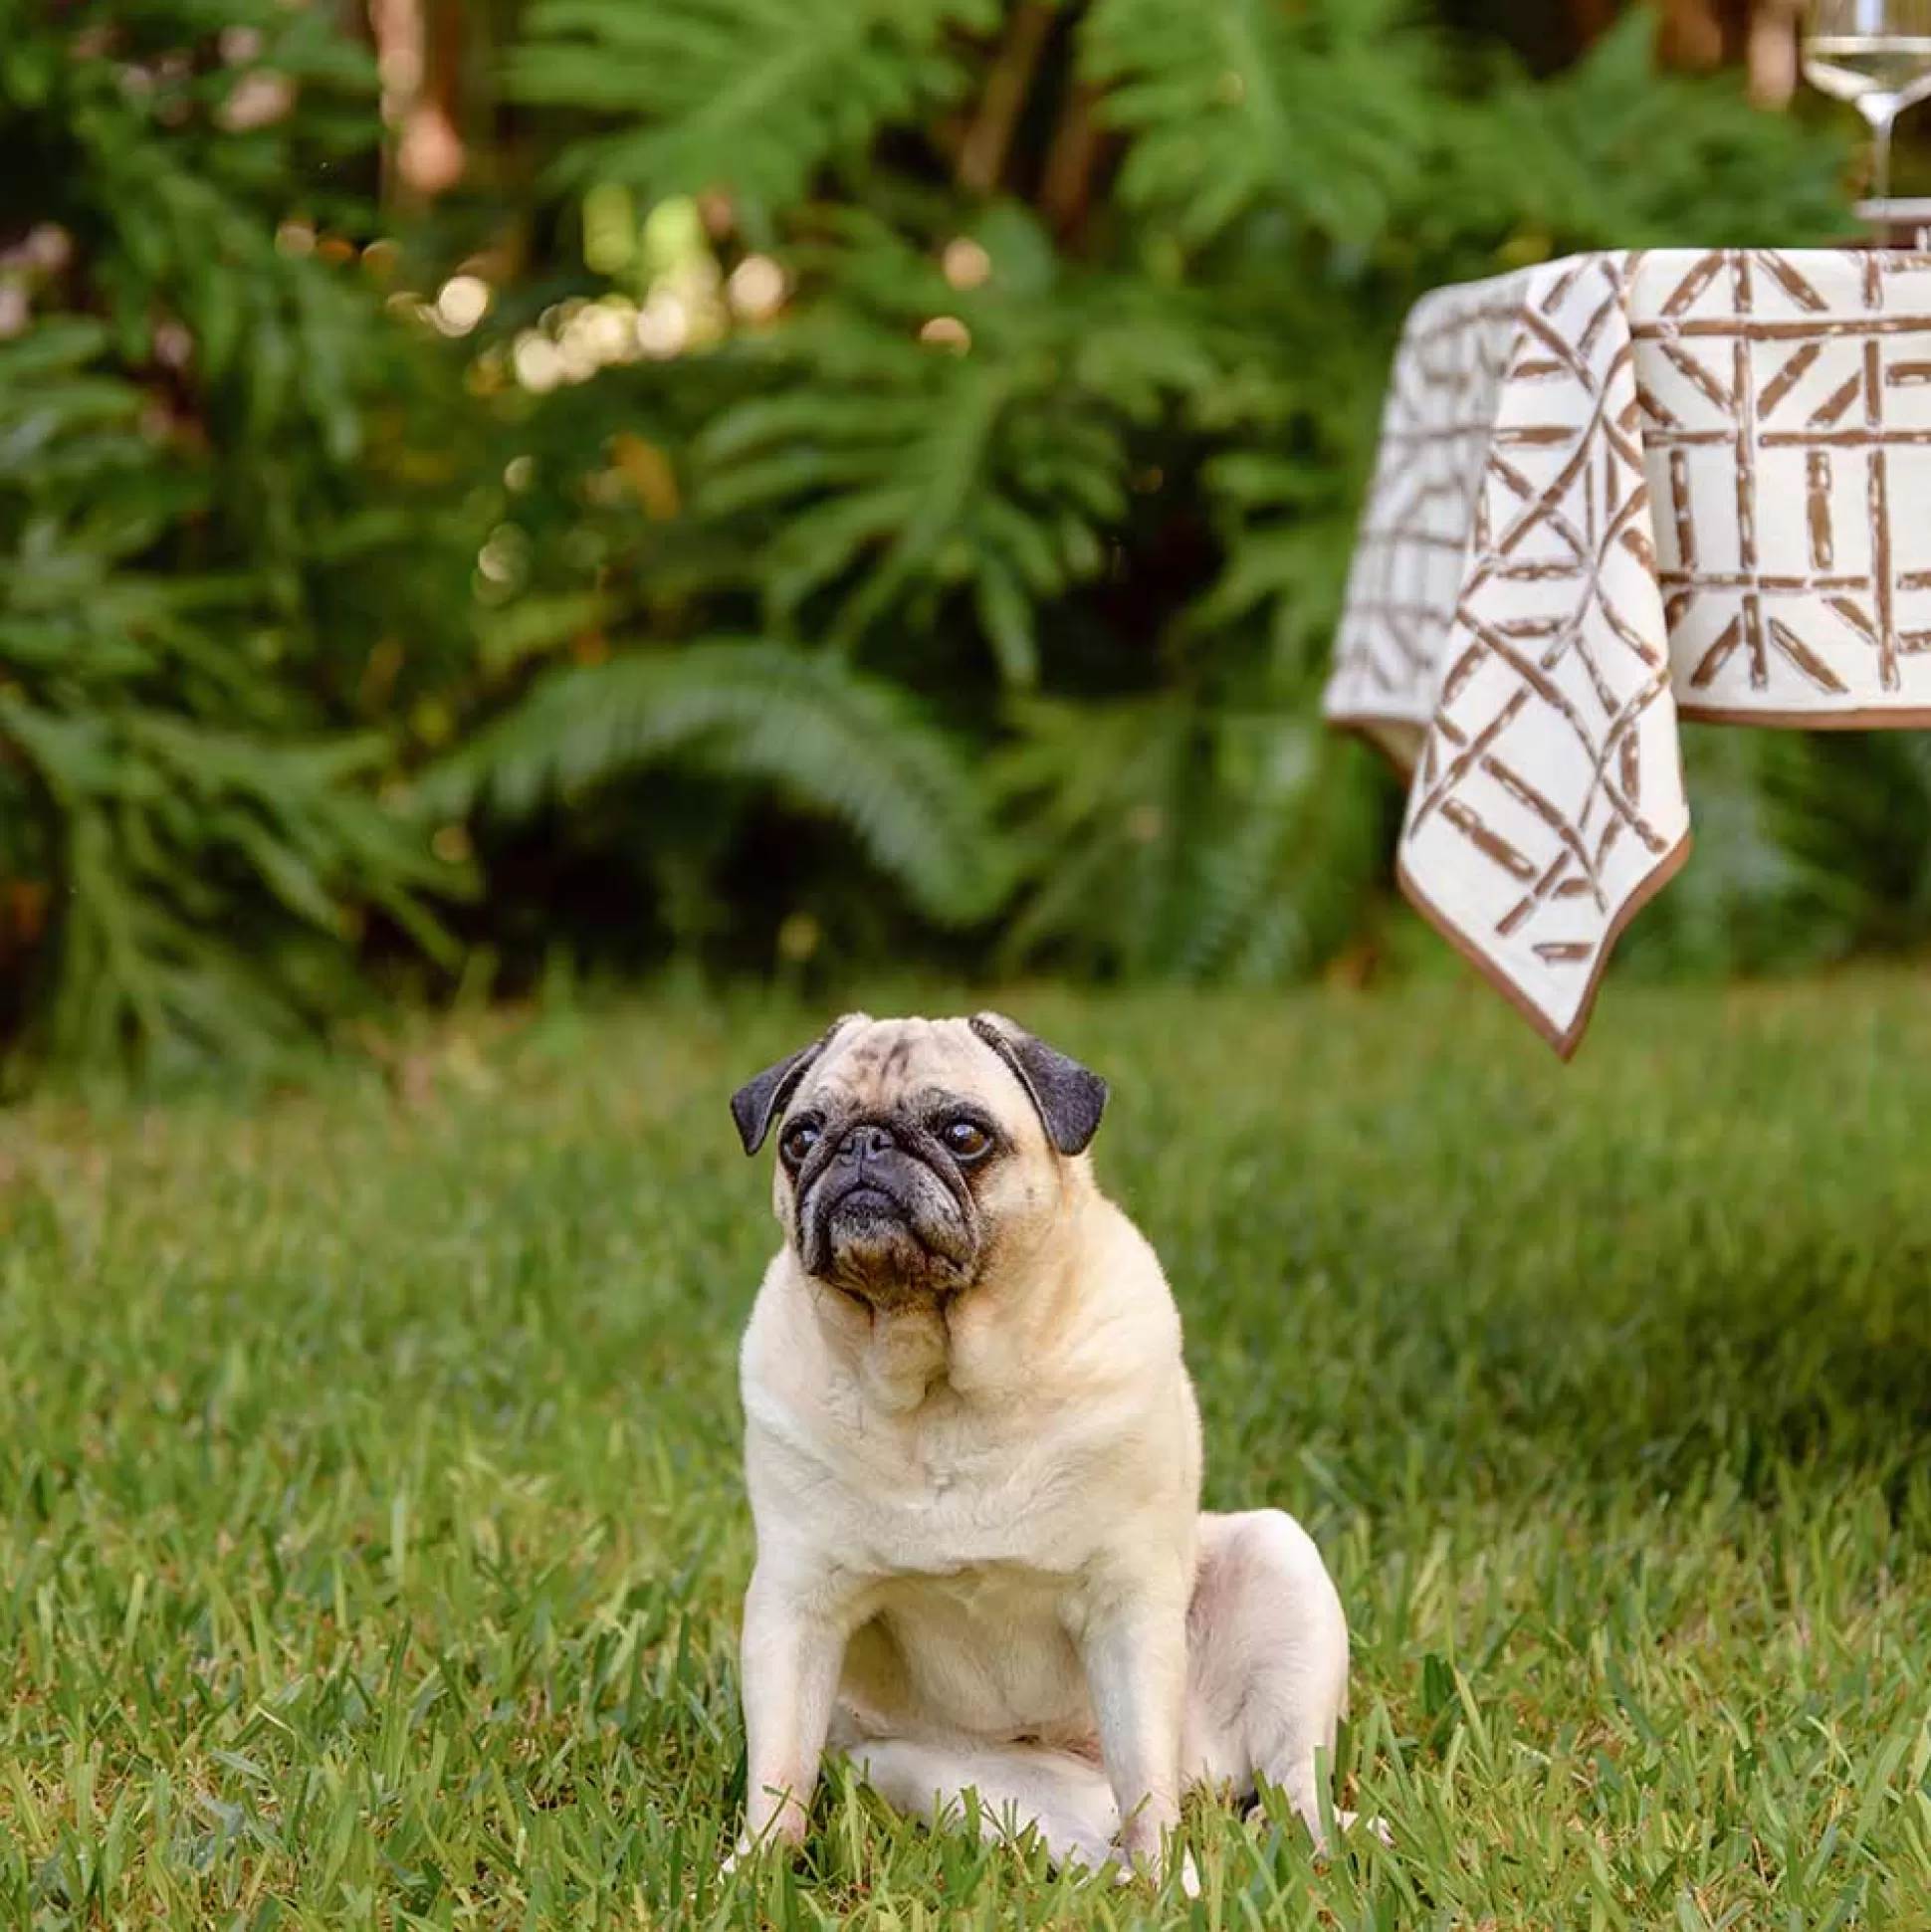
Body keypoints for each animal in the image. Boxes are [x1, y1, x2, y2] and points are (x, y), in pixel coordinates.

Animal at [723, 1012, 1345, 1885]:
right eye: (801, 1136)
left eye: (964, 1135)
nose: (863, 1143)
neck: (941, 1386)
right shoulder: (796, 1604)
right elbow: (779, 1770)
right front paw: (754, 1875)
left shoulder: (1125, 1606)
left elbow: (1146, 1779)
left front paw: (1167, 1874)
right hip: (966, 1786)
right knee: (1088, 1841)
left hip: (1280, 1566)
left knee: (1289, 1784)